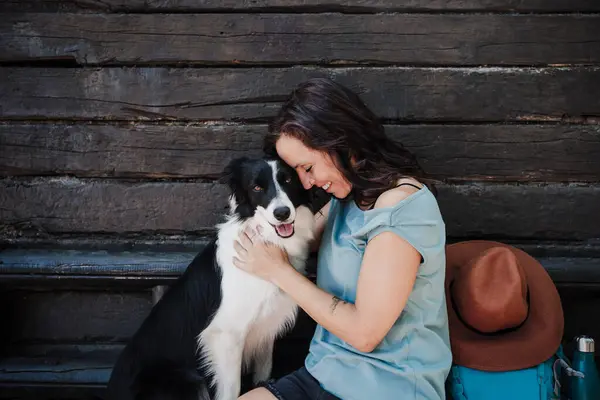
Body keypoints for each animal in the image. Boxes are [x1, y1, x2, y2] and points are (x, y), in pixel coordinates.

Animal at [106, 156, 316, 400]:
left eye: (288, 179)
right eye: (257, 187)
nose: (282, 213)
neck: (267, 240)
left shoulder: (265, 328)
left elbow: (263, 372)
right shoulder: (225, 335)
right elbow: (232, 390)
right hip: (190, 381)